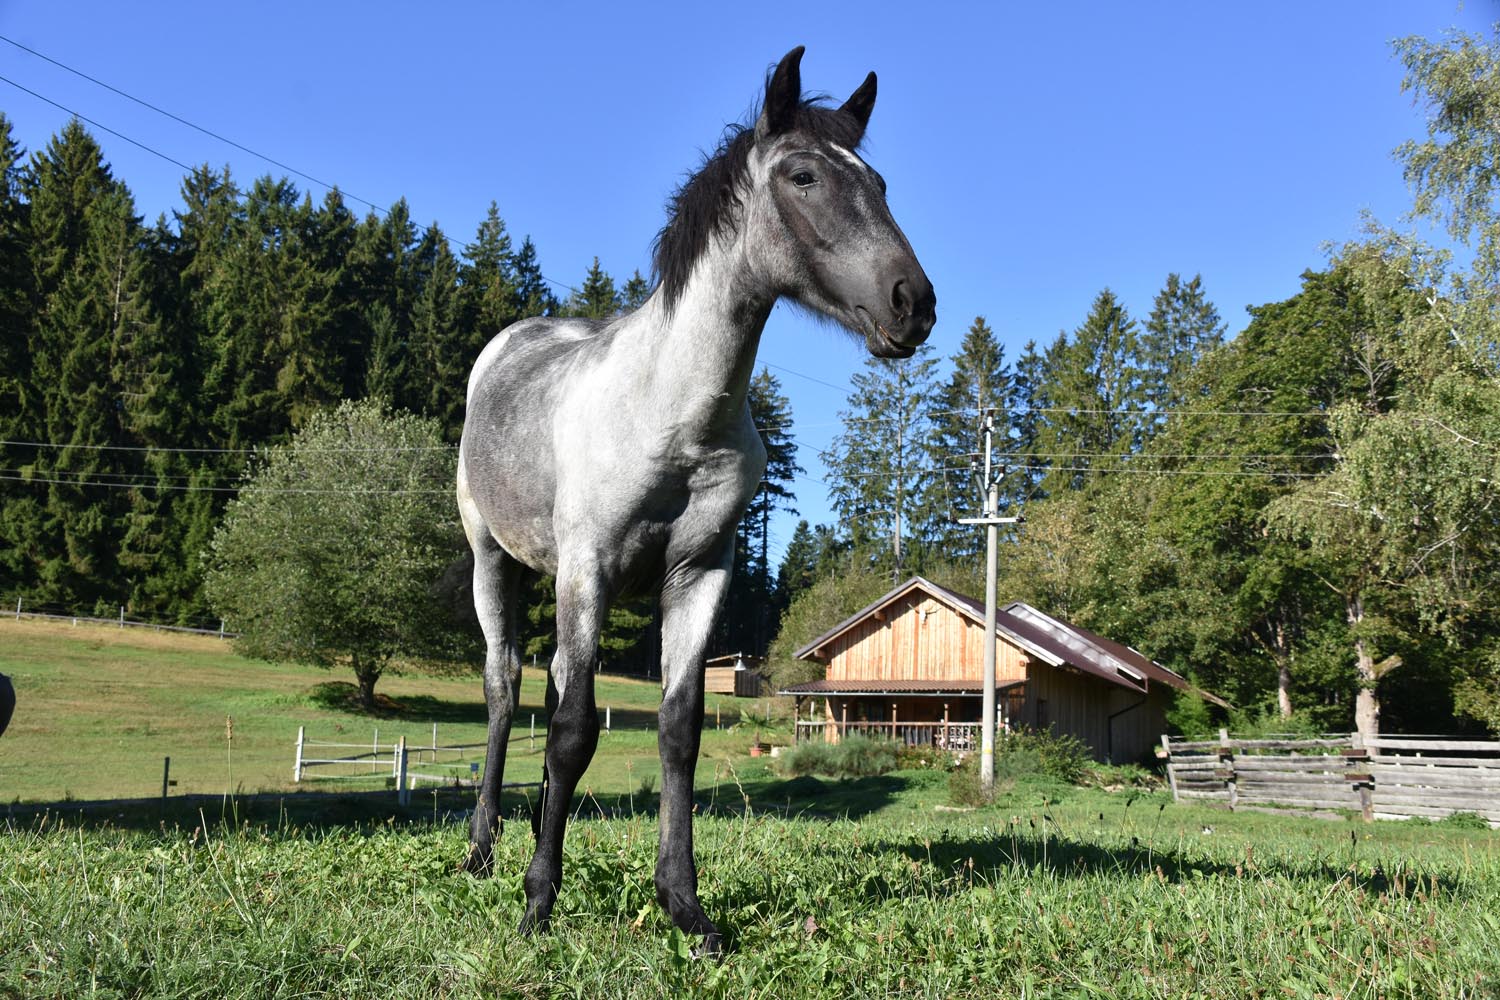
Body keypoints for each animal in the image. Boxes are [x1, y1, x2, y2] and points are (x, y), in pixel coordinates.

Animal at [456, 48, 930, 953]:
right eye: (804, 175)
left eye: (884, 182)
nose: (912, 304)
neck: (673, 416)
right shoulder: (590, 571)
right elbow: (574, 731)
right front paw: (539, 902)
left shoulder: (700, 575)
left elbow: (678, 731)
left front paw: (686, 906)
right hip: (494, 560)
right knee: (503, 690)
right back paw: (484, 850)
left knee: (544, 690)